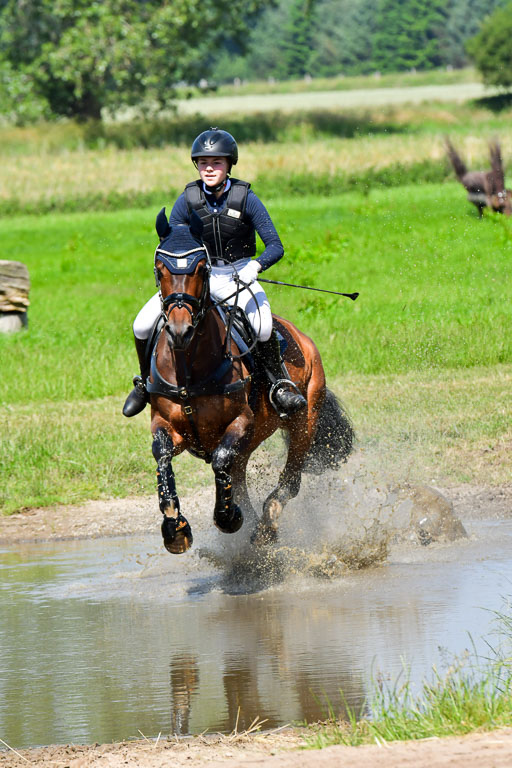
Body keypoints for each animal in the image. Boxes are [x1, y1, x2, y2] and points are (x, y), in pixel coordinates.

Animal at [146, 212, 354, 554]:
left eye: (201, 268)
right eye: (160, 269)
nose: (179, 330)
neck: (189, 368)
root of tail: (303, 338)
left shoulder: (241, 420)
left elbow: (219, 460)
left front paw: (227, 518)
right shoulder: (166, 425)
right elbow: (162, 459)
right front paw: (175, 529)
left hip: (303, 422)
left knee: (290, 481)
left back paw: (265, 527)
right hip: (249, 446)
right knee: (240, 478)